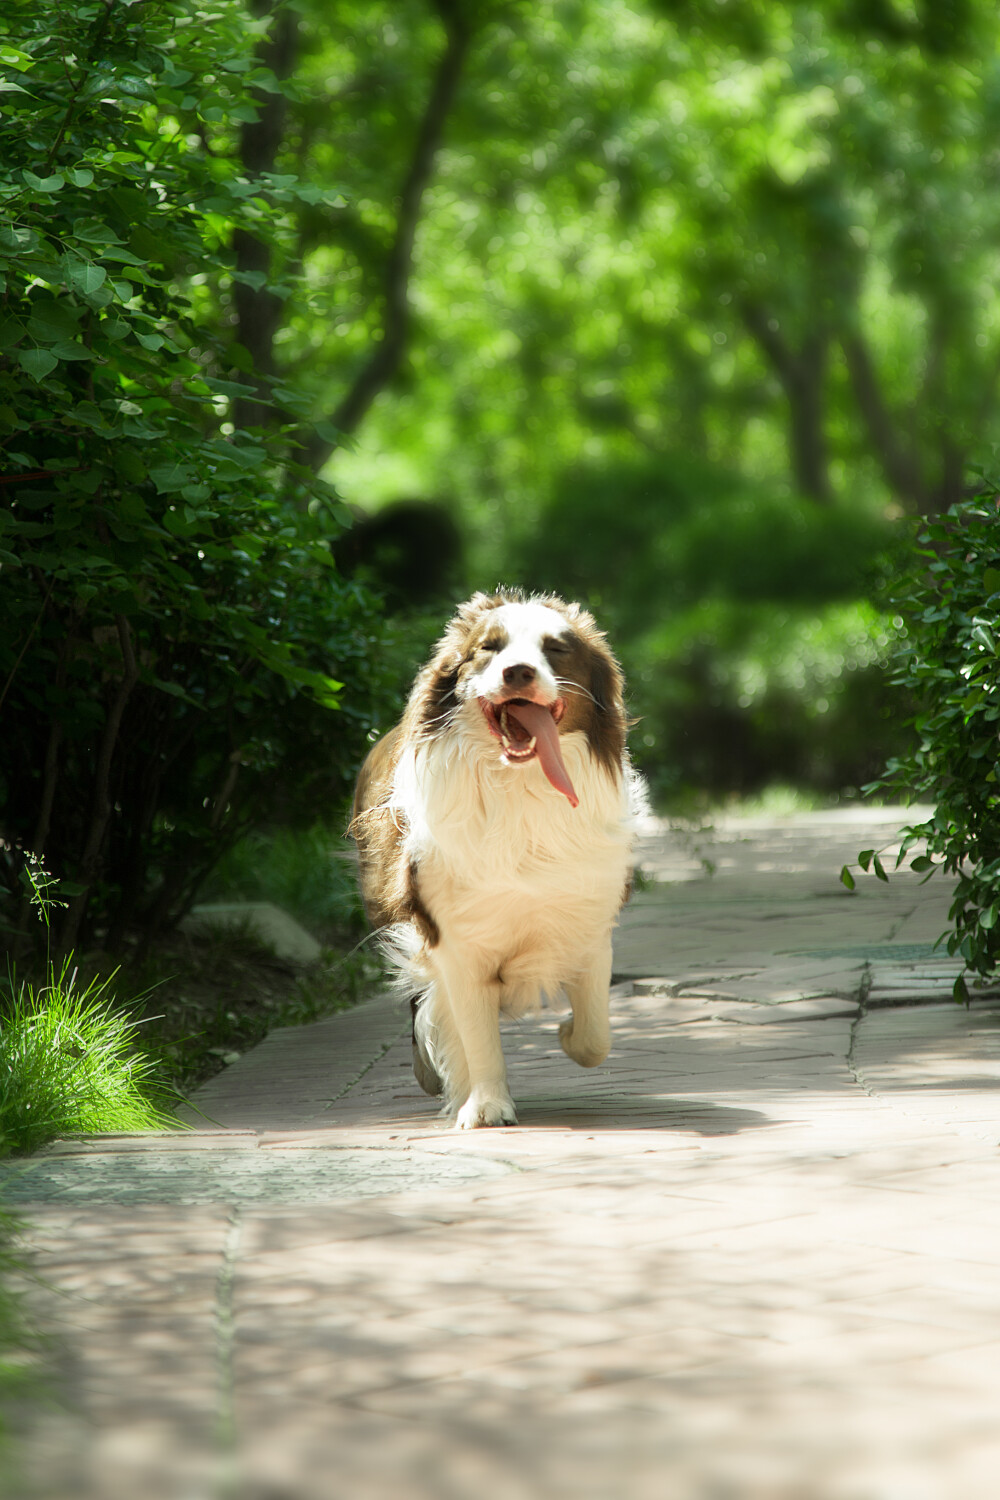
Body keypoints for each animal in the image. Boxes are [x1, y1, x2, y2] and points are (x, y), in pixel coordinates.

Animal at [352, 585, 650, 1128]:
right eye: (489, 648)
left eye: (556, 648)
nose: (518, 673)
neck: (520, 789)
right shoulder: (453, 938)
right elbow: (474, 1034)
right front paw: (486, 1106)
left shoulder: (589, 922)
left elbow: (594, 1037)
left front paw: (566, 1034)